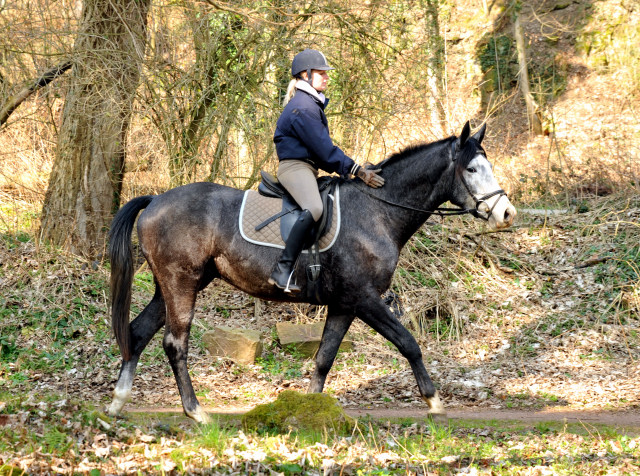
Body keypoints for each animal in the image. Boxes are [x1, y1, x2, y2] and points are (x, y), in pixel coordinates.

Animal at [105, 121, 516, 422]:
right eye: (472, 169)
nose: (507, 213)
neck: (377, 211)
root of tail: (155, 200)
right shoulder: (366, 299)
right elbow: (408, 343)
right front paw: (433, 401)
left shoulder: (345, 304)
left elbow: (324, 359)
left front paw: (309, 412)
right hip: (182, 284)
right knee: (175, 344)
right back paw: (196, 412)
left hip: (172, 287)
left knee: (137, 333)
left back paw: (118, 402)